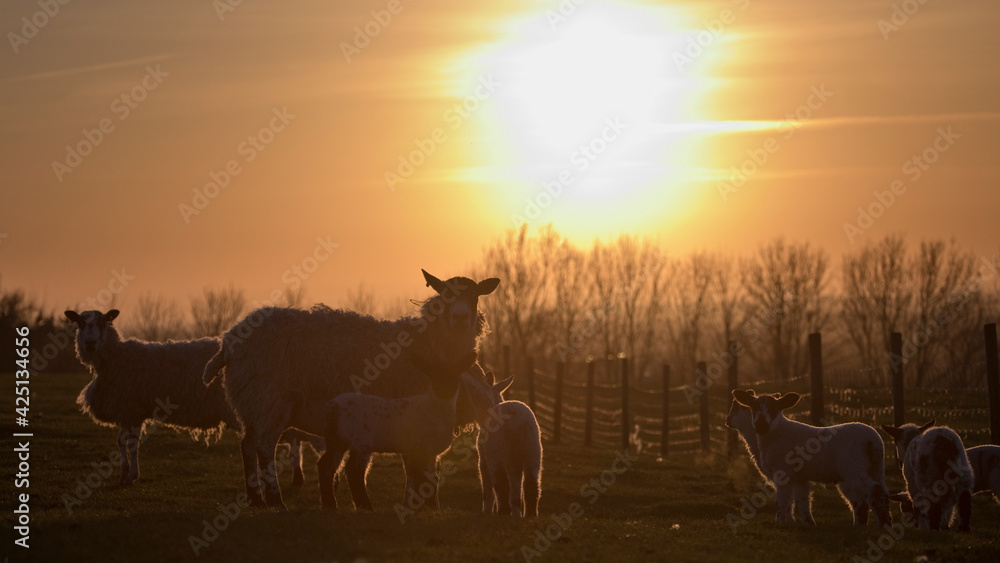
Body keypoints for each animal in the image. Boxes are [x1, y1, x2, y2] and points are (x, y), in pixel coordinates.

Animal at [317, 352, 477, 510]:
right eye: (432, 375)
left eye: (455, 375)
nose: (444, 391)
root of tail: (331, 408)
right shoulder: (419, 446)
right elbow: (420, 476)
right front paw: (419, 507)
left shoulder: (430, 451)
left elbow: (431, 477)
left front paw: (431, 507)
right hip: (359, 440)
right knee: (353, 471)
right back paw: (365, 506)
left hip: (336, 440)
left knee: (326, 465)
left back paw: (330, 505)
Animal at [469, 371, 542, 517]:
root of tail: (516, 420)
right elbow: (515, 487)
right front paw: (516, 512)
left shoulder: (483, 460)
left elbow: (487, 489)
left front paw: (486, 511)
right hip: (533, 450)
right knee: (531, 483)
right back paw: (529, 514)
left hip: (496, 451)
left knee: (500, 482)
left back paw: (503, 512)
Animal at [732, 389, 892, 527]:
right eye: (753, 407)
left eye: (774, 409)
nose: (761, 425)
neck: (776, 433)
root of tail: (872, 440)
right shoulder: (799, 477)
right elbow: (801, 500)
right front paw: (807, 523)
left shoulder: (783, 471)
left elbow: (782, 500)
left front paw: (780, 522)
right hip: (877, 467)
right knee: (881, 493)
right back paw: (879, 524)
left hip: (854, 468)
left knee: (873, 491)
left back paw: (879, 523)